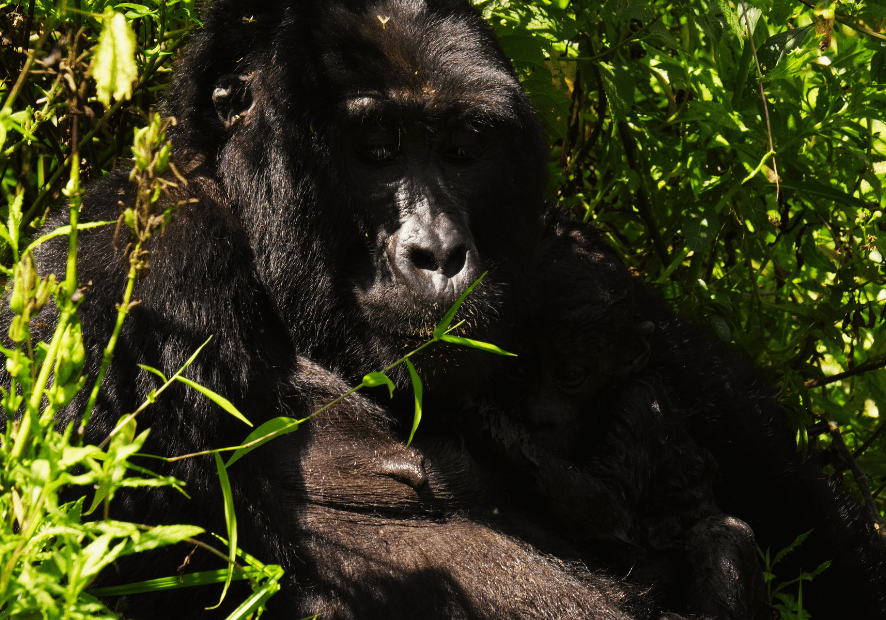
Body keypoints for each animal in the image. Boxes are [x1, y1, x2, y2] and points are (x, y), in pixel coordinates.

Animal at [464, 214, 772, 620]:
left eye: (572, 375)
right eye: (517, 370)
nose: (539, 416)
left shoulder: (637, 406)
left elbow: (608, 503)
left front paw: (482, 419)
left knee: (723, 531)